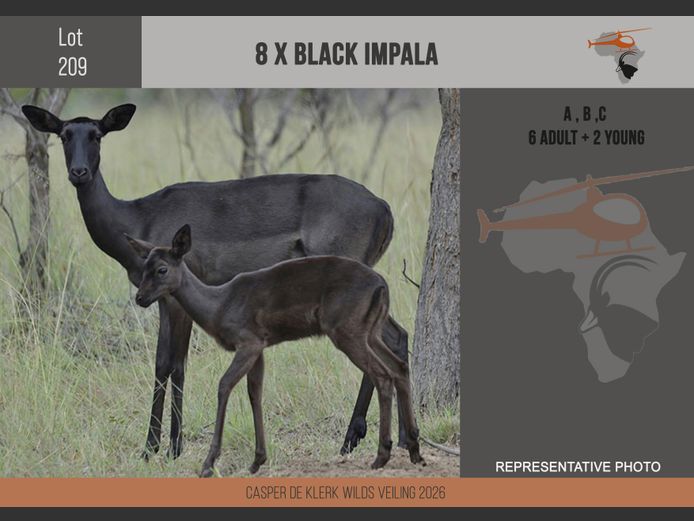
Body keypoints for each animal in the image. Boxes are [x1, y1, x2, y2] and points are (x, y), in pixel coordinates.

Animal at [22, 103, 410, 460]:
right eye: (64, 134)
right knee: (396, 336)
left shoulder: (174, 299)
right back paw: (386, 438)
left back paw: (354, 438)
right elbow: (167, 363)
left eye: (97, 134)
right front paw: (159, 446)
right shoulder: (164, 300)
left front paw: (164, 447)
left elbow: (172, 364)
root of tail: (384, 207)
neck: (136, 218)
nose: (79, 172)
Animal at [126, 225, 424, 476]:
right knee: (398, 367)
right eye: (144, 266)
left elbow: (224, 385)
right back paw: (414, 450)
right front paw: (257, 460)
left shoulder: (247, 342)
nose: (140, 298)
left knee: (382, 374)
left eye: (161, 269)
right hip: (369, 332)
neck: (219, 306)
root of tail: (382, 286)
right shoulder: (260, 346)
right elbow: (255, 393)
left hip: (348, 332)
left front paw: (208, 464)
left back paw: (382, 456)